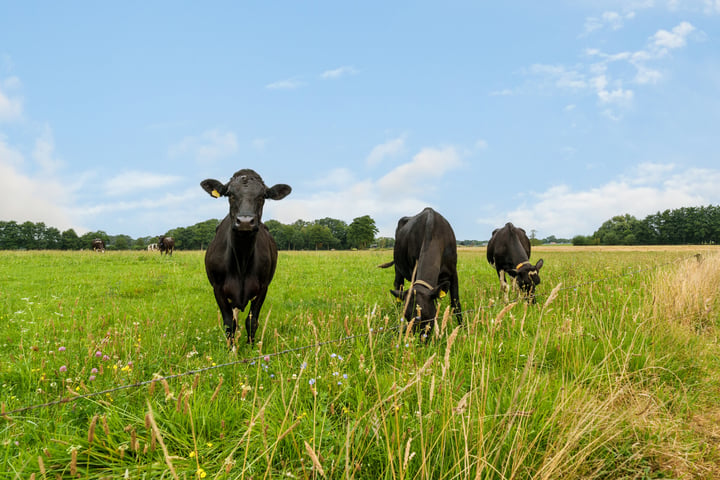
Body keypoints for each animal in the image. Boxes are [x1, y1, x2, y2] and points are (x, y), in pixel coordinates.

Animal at [200, 168, 290, 344]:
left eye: (263, 196)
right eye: (230, 194)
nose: (245, 221)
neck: (241, 262)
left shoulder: (263, 287)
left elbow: (252, 321)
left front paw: (251, 346)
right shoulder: (217, 288)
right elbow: (230, 323)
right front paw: (231, 348)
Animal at [376, 207, 462, 338]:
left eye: (427, 316)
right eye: (407, 317)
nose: (418, 339)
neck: (435, 234)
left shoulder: (453, 272)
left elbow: (456, 304)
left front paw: (462, 328)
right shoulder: (413, 270)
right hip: (398, 268)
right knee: (398, 286)